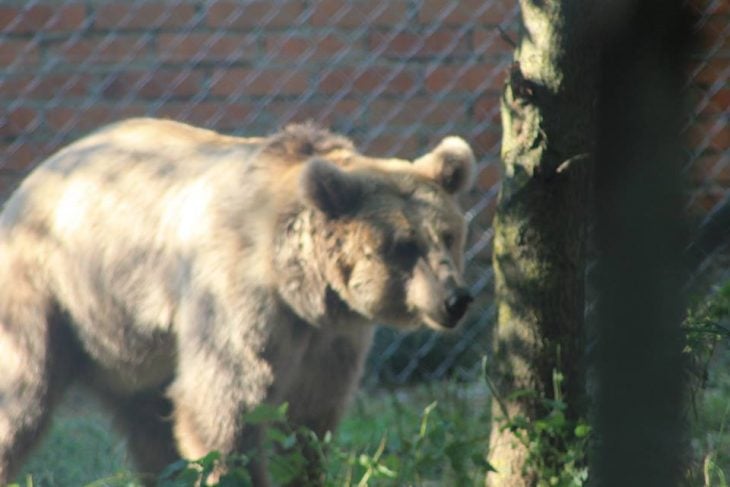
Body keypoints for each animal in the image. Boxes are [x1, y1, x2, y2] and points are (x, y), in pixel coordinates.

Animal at [0, 117, 474, 484]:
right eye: (402, 245)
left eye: (448, 235)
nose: (455, 299)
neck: (301, 288)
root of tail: (33, 178)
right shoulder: (237, 300)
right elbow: (225, 406)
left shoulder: (332, 342)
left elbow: (307, 424)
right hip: (52, 296)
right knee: (21, 397)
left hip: (134, 349)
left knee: (150, 427)